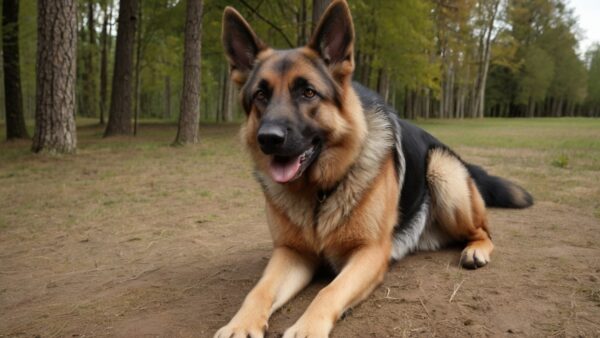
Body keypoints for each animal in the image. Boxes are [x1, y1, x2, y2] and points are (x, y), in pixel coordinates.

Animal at [214, 1, 528, 336]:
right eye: (261, 95)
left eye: (308, 92)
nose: (269, 138)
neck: (319, 193)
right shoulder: (291, 253)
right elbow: (258, 290)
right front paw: (239, 324)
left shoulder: (369, 253)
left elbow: (329, 291)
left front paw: (307, 327)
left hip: (443, 172)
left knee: (485, 231)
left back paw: (476, 250)